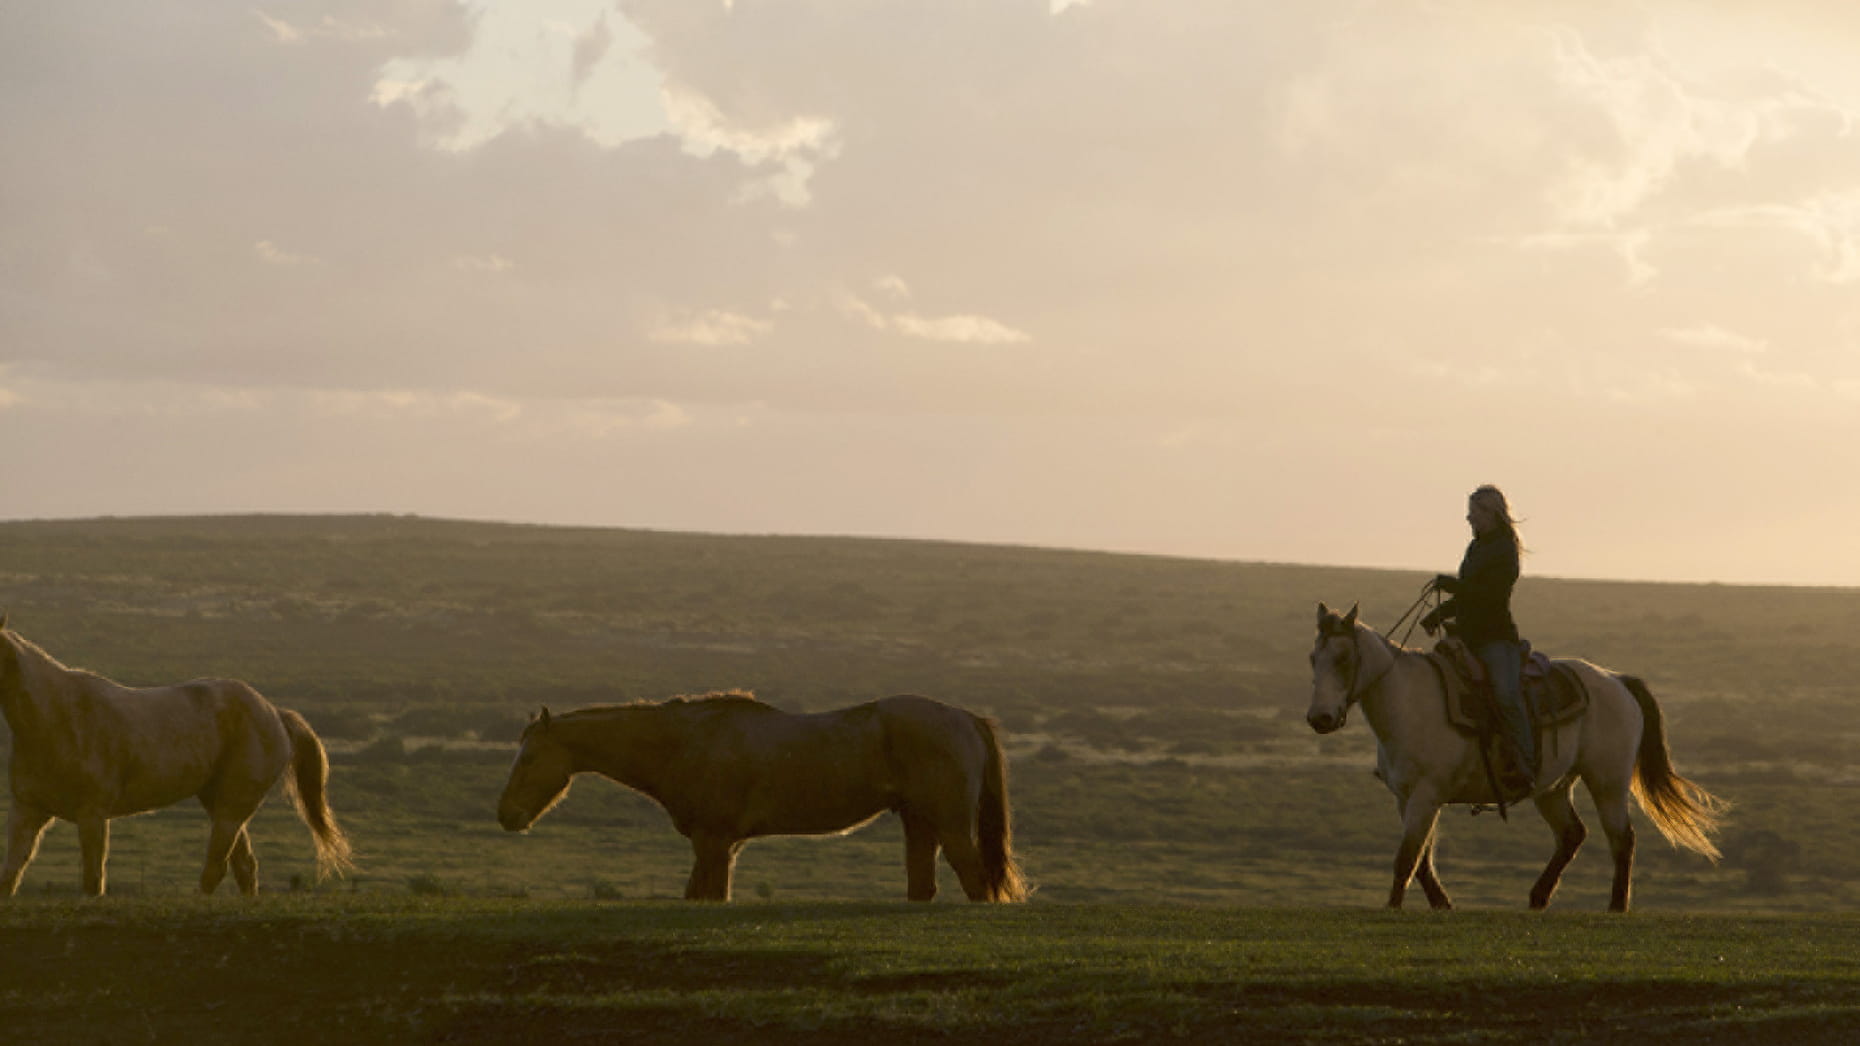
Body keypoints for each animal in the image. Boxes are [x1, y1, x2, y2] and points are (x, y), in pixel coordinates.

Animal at [0, 617, 351, 897]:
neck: (55, 718)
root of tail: (275, 713)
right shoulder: (27, 810)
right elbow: (11, 873)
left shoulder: (93, 814)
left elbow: (92, 880)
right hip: (218, 802)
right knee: (244, 866)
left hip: (232, 807)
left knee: (218, 867)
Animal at [498, 688, 1034, 900]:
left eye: (529, 758)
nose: (507, 815)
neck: (684, 741)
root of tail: (965, 718)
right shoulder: (722, 847)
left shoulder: (713, 842)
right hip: (919, 823)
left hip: (950, 825)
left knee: (976, 882)